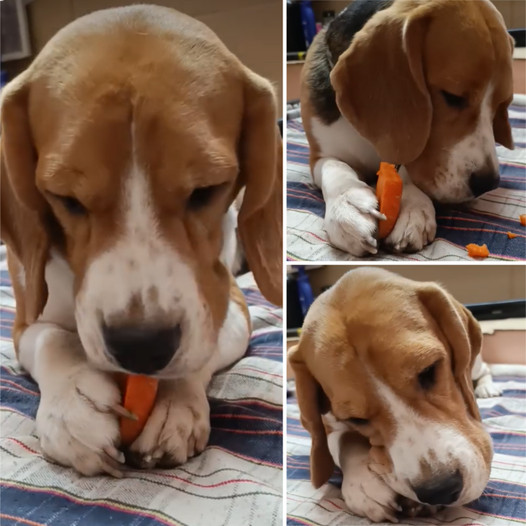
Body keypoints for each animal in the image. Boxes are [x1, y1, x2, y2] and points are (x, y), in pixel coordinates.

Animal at [2, 5, 282, 478]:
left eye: (206, 190)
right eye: (66, 199)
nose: (141, 346)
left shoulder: (230, 304)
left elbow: (202, 344)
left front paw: (177, 403)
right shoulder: (22, 322)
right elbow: (53, 338)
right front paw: (73, 404)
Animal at [290, 270, 502, 524]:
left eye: (429, 371)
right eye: (356, 419)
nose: (439, 490)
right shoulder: (328, 424)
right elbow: (344, 439)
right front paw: (362, 484)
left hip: (477, 365)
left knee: (485, 369)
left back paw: (486, 388)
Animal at [302, 0, 516, 256]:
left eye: (502, 103)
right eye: (452, 97)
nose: (487, 184)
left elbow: (405, 169)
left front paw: (413, 208)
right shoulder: (319, 156)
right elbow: (336, 167)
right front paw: (349, 204)